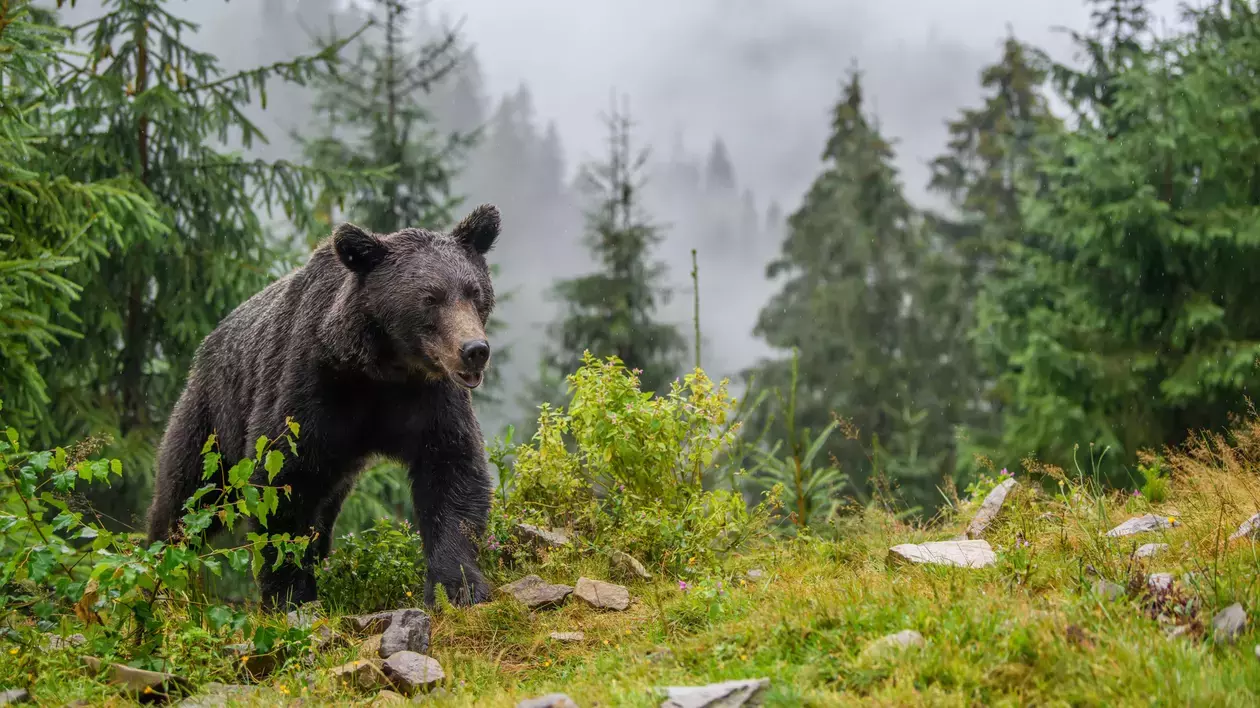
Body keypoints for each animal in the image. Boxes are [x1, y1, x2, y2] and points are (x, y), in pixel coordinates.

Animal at [147, 202, 501, 607]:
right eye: (430, 298)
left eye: (474, 292)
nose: (474, 350)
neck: (381, 370)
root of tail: (206, 345)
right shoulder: (309, 389)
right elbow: (282, 483)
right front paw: (290, 593)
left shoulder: (429, 400)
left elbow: (451, 472)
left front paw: (458, 585)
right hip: (212, 418)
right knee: (188, 495)